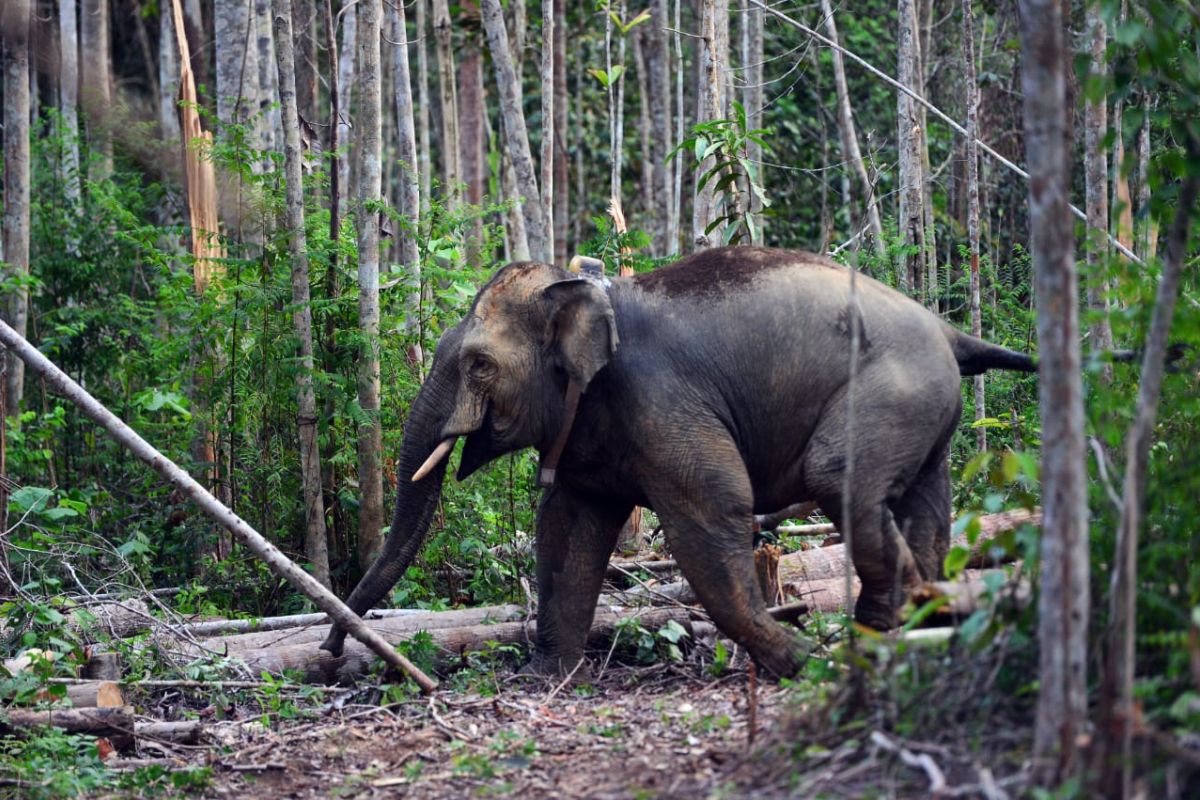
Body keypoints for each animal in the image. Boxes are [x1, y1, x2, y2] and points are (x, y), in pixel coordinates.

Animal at [316, 247, 1032, 681]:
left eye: (479, 365)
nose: (328, 655)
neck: (591, 294)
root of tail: (950, 333)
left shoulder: (662, 400)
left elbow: (712, 509)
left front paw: (799, 660)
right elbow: (567, 531)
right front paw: (549, 677)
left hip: (894, 390)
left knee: (840, 479)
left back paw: (878, 635)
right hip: (929, 411)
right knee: (926, 505)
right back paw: (929, 620)